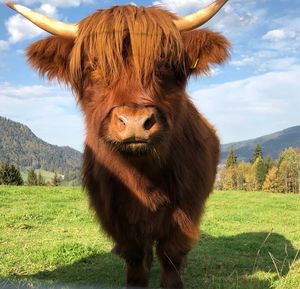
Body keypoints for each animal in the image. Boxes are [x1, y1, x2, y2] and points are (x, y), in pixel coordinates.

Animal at [7, 1, 231, 286]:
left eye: (164, 64)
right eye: (94, 65)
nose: (134, 121)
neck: (145, 178)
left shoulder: (187, 211)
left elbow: (171, 257)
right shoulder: (117, 218)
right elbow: (136, 259)